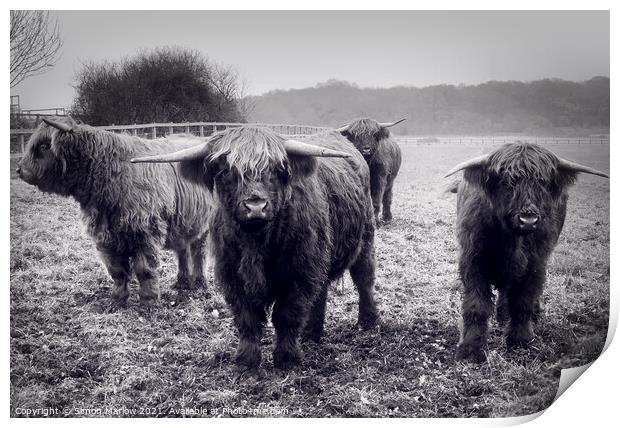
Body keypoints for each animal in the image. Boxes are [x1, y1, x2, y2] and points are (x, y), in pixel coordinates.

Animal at [15, 117, 213, 304]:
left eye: (44, 146)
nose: (19, 169)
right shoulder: (105, 236)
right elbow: (117, 270)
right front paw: (117, 299)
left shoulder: (146, 232)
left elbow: (144, 269)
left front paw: (148, 300)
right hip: (184, 222)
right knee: (183, 250)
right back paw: (182, 282)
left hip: (204, 226)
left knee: (199, 252)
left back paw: (200, 283)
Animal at [133, 128, 380, 374]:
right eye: (226, 171)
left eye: (276, 169)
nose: (255, 207)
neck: (256, 243)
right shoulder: (232, 275)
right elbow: (247, 319)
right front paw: (246, 360)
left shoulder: (300, 272)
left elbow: (287, 314)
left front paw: (286, 359)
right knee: (321, 291)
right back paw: (311, 333)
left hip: (365, 239)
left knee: (364, 279)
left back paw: (367, 321)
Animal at [446, 143, 612, 362]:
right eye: (506, 181)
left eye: (542, 182)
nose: (528, 220)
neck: (511, 240)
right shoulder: (473, 261)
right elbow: (476, 306)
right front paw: (470, 349)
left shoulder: (535, 264)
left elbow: (523, 302)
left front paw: (520, 341)